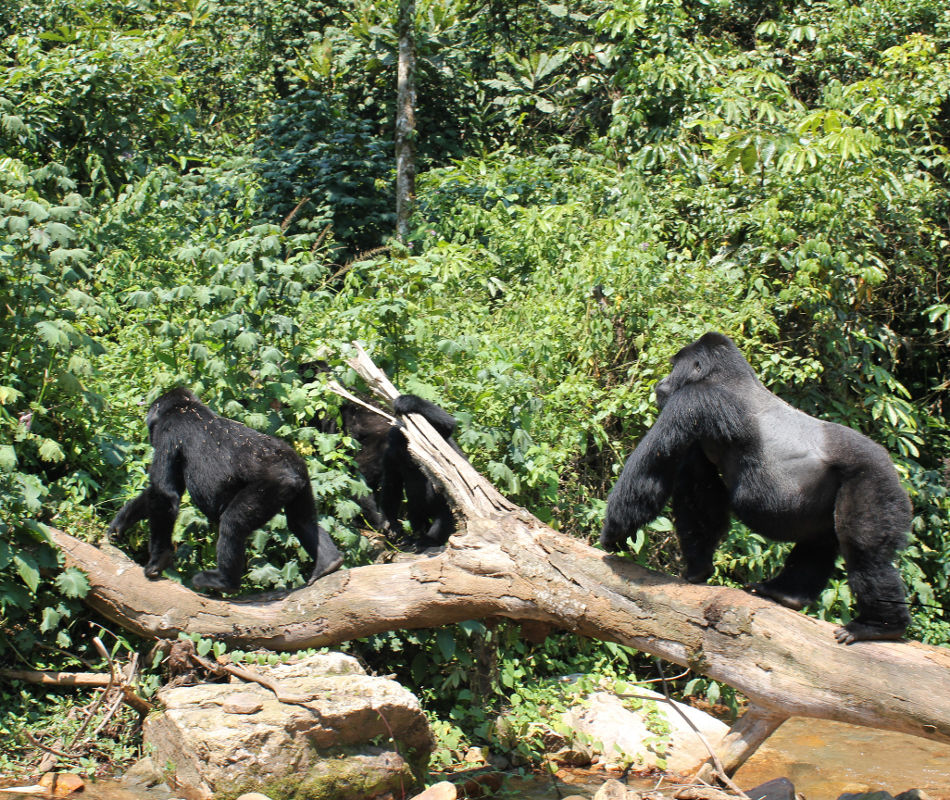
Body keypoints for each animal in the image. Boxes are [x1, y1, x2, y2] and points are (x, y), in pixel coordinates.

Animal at [110, 388, 346, 592]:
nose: (148, 431)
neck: (185, 407)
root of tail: (290, 467)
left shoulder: (167, 432)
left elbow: (165, 494)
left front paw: (158, 560)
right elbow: (158, 493)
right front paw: (119, 525)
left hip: (276, 483)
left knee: (233, 522)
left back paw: (224, 582)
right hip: (302, 475)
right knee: (301, 521)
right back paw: (328, 563)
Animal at [604, 332, 916, 644]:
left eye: (673, 368)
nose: (661, 382)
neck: (729, 376)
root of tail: (891, 467)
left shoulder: (693, 401)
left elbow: (652, 474)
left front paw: (613, 534)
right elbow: (699, 495)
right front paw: (699, 568)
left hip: (873, 478)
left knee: (861, 546)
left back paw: (880, 625)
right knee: (823, 537)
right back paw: (788, 594)